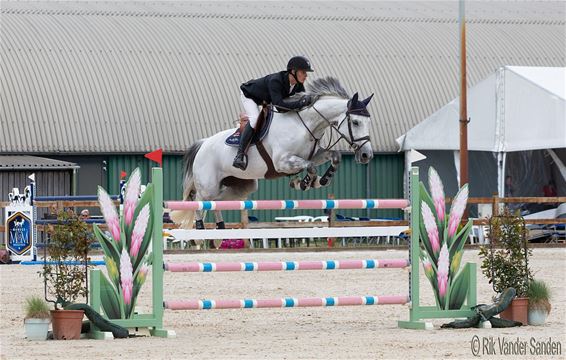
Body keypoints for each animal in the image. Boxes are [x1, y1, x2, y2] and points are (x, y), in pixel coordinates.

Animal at [173, 77, 378, 229]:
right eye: (356, 122)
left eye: (368, 122)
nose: (366, 155)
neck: (305, 125)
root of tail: (203, 144)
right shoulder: (283, 162)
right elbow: (310, 166)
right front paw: (304, 182)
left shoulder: (313, 154)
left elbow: (335, 156)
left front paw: (322, 180)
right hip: (208, 186)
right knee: (199, 204)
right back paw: (200, 234)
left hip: (242, 187)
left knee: (217, 203)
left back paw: (219, 232)